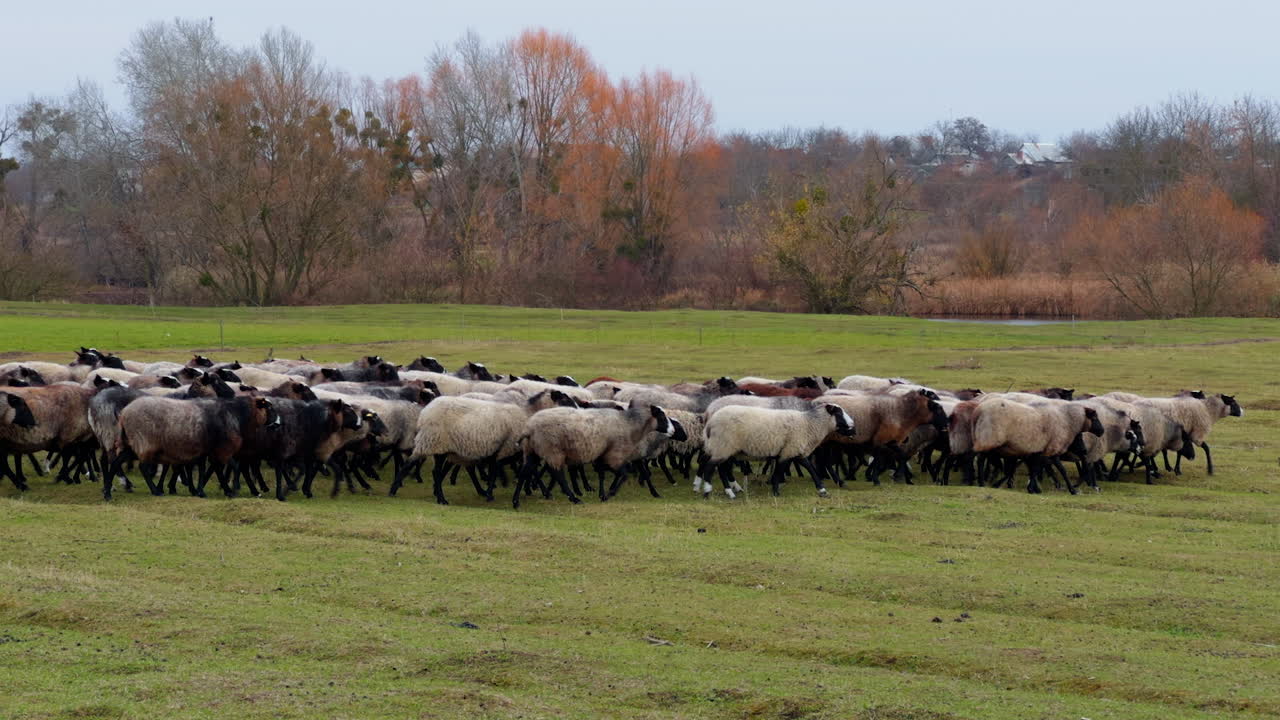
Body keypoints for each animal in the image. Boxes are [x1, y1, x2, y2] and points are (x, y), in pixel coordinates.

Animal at [516, 404, 676, 505]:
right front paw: (609, 494)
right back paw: (574, 499)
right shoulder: (614, 455)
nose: (673, 431)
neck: (629, 425)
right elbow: (624, 474)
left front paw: (603, 493)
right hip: (552, 450)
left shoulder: (603, 455)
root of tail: (529, 428)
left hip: (533, 450)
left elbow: (603, 474)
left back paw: (516, 502)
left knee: (525, 471)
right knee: (558, 475)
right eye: (662, 417)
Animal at [697, 403, 854, 498]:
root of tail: (710, 422)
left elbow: (809, 468)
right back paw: (708, 491)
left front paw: (822, 490)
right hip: (723, 446)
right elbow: (780, 471)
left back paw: (729, 491)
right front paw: (776, 492)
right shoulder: (788, 451)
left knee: (721, 468)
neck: (809, 425)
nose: (853, 427)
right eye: (839, 413)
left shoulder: (794, 449)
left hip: (724, 448)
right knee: (711, 466)